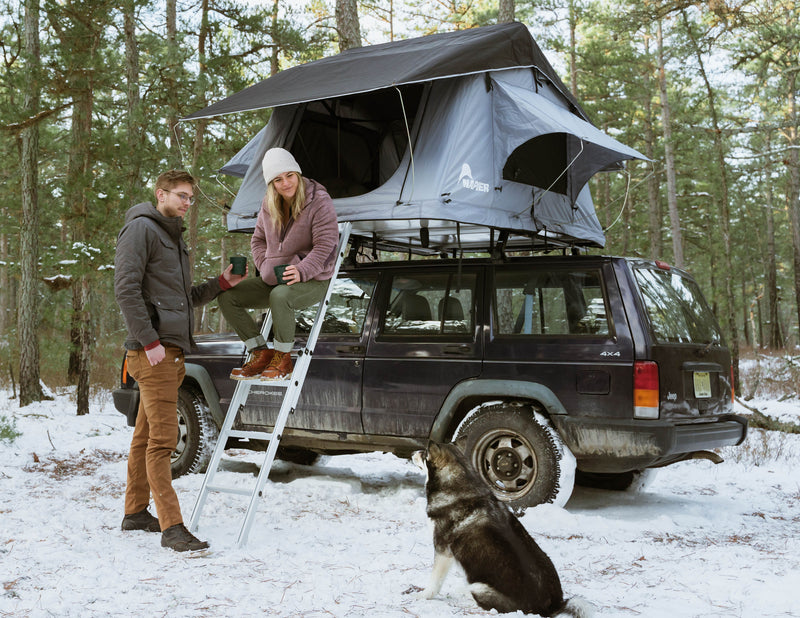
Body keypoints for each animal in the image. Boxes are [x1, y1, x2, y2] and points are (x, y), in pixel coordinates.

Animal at [416, 440, 592, 616]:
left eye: (424, 454)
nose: (413, 453)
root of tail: (552, 605)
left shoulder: (442, 550)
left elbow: (434, 581)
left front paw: (424, 595)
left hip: (479, 587)